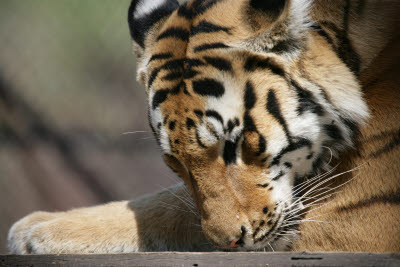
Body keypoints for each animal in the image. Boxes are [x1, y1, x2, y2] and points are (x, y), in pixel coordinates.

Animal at [7, 0, 400, 254]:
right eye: (174, 162)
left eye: (236, 144)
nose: (228, 243)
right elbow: (173, 205)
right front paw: (35, 228)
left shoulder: (353, 219)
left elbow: (172, 209)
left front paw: (35, 230)